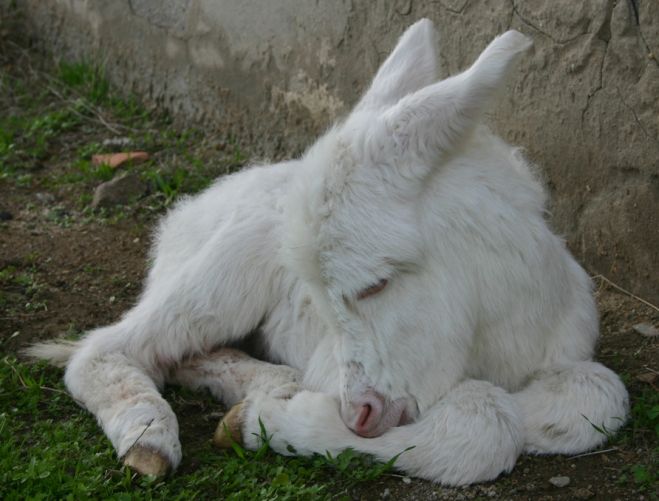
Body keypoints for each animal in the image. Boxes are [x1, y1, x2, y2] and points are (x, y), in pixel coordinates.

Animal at [29, 19, 628, 484]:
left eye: (376, 284)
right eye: (320, 297)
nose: (358, 413)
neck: (489, 335)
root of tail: (188, 213)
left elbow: (597, 397)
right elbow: (485, 420)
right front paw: (261, 424)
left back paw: (269, 384)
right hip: (222, 276)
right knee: (106, 350)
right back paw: (152, 439)